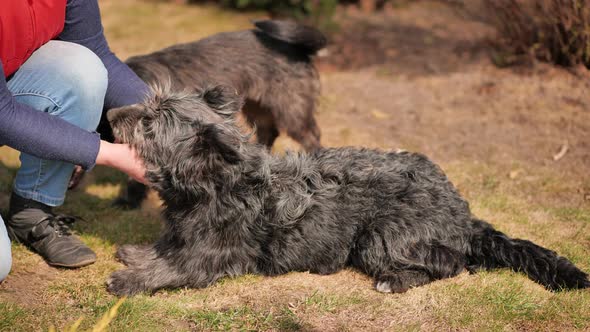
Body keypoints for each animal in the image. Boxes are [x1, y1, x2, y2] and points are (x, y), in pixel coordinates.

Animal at [99, 18, 326, 208]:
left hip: (292, 110)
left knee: (311, 137)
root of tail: (299, 49)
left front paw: (128, 200)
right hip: (257, 107)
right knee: (268, 133)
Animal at [106, 85, 590, 296]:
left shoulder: (214, 258)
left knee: (453, 264)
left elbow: (174, 268)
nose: (110, 115)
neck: (214, 184)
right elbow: (166, 248)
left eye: (149, 122)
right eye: (147, 109)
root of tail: (462, 211)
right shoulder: (185, 234)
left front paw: (132, 279)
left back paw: (396, 281)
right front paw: (138, 254)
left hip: (380, 237)